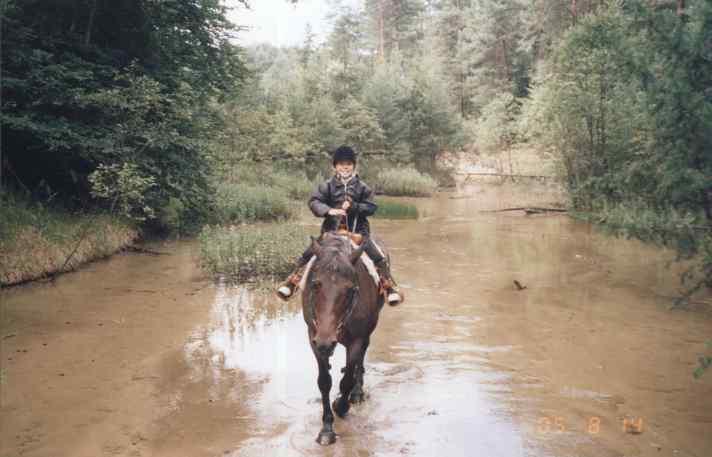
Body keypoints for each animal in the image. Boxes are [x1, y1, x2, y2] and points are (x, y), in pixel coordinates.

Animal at [304, 230, 386, 444]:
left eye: (351, 290)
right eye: (315, 284)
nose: (326, 342)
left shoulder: (357, 338)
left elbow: (347, 379)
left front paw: (341, 405)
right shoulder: (313, 337)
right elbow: (324, 381)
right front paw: (326, 429)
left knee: (361, 360)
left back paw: (357, 393)